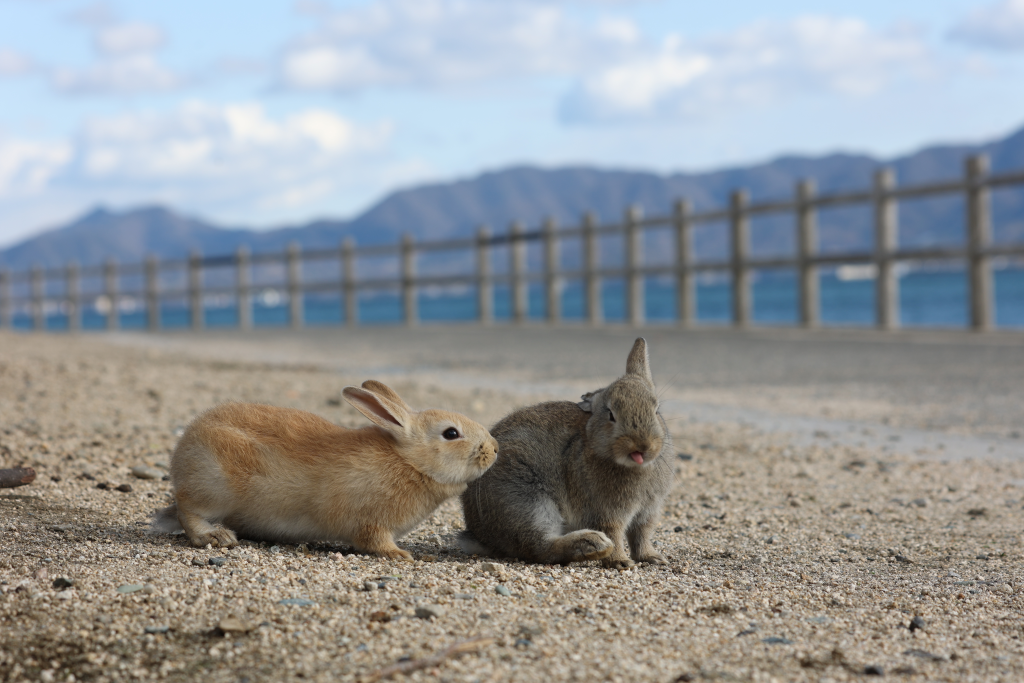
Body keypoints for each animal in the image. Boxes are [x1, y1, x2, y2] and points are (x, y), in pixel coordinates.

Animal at [149, 378, 497, 561]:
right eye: (451, 433)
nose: (494, 450)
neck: (409, 461)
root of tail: (183, 450)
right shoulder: (371, 522)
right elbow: (374, 541)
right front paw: (400, 555)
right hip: (214, 486)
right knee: (188, 510)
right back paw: (215, 536)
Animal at [462, 339, 671, 569]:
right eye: (611, 414)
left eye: (656, 410)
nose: (642, 445)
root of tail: (479, 533)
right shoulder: (606, 512)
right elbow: (615, 534)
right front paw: (620, 562)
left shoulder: (647, 512)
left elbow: (641, 534)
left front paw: (653, 557)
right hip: (527, 499)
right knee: (541, 548)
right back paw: (593, 544)